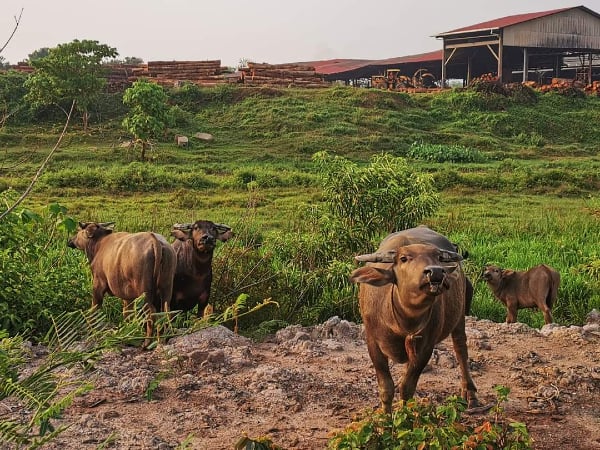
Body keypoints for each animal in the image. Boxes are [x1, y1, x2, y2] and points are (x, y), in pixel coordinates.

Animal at [350, 225, 480, 414]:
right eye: (403, 258)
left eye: (438, 257)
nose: (436, 272)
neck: (403, 321)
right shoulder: (372, 341)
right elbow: (386, 387)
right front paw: (386, 417)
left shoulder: (426, 347)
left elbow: (407, 387)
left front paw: (404, 414)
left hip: (460, 316)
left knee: (460, 348)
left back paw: (470, 394)